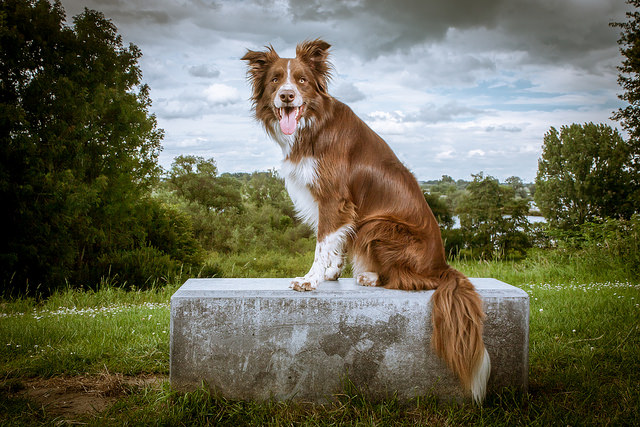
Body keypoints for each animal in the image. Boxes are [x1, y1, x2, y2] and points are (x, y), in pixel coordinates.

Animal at [240, 40, 490, 404]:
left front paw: (310, 280)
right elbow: (336, 242)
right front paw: (331, 274)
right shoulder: (341, 208)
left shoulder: (334, 198)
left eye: (301, 81)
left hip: (378, 225)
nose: (287, 96)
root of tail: (443, 266)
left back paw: (372, 276)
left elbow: (322, 242)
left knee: (410, 279)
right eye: (275, 79)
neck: (312, 124)